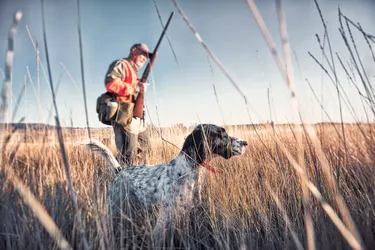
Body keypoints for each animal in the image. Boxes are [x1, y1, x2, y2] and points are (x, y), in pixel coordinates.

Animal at [85, 124, 250, 245]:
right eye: (222, 135)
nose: (245, 143)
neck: (186, 171)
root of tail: (120, 171)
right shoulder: (165, 219)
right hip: (114, 208)